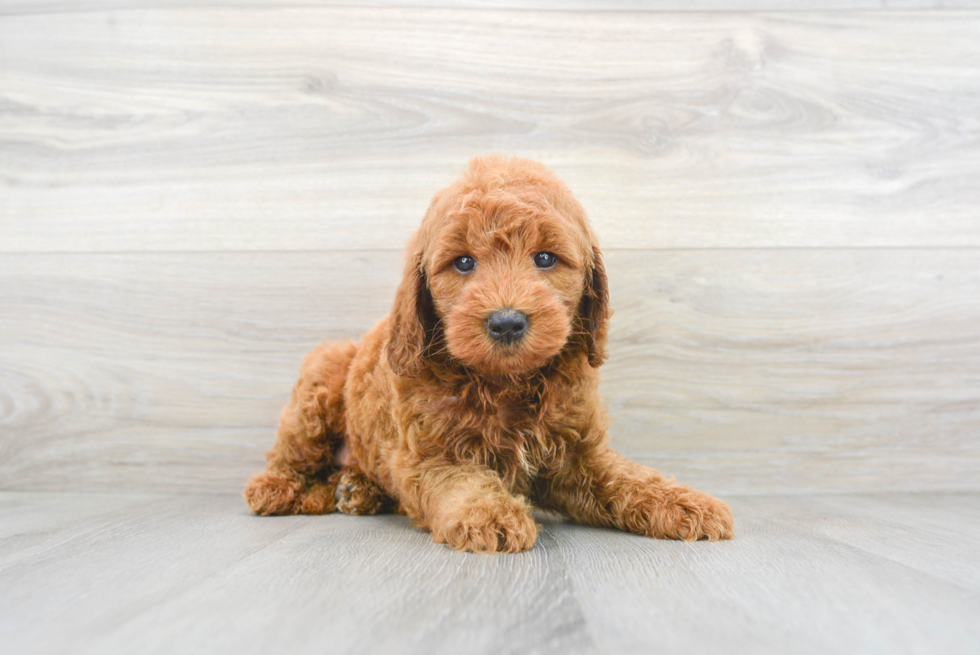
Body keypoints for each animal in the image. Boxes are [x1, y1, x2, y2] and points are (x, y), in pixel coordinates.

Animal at [245, 156, 736, 556]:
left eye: (545, 258)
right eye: (463, 263)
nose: (506, 322)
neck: (505, 382)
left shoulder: (578, 457)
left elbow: (629, 478)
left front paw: (686, 502)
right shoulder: (429, 455)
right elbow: (461, 480)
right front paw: (489, 515)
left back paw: (355, 490)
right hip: (321, 380)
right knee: (293, 455)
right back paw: (278, 489)